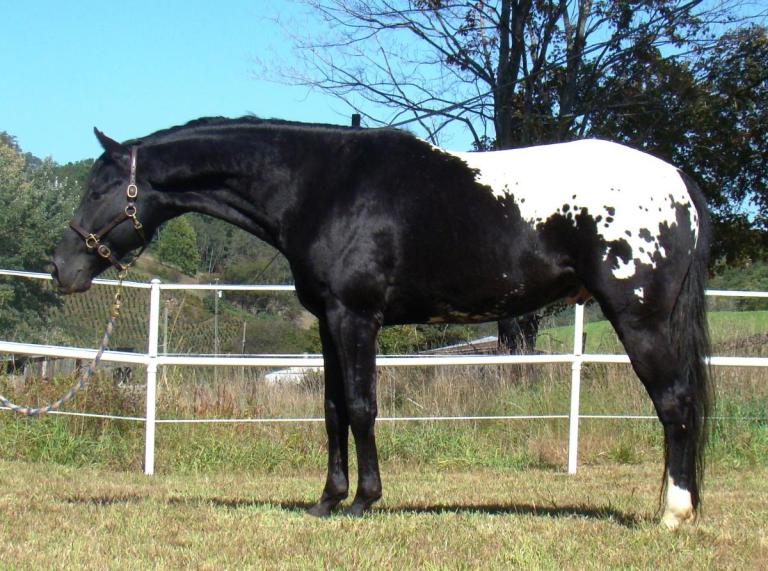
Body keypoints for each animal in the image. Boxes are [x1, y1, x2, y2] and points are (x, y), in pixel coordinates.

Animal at [51, 116, 712, 530]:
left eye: (100, 188)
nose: (61, 266)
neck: (322, 185)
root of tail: (676, 181)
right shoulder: (327, 321)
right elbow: (332, 409)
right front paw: (327, 500)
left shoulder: (356, 318)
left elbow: (362, 407)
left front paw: (364, 501)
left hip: (641, 318)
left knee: (675, 404)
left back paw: (674, 514)